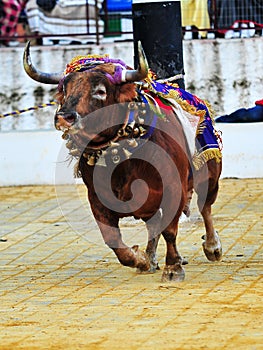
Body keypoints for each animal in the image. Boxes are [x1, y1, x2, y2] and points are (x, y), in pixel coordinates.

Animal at [23, 41, 224, 282]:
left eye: (100, 91)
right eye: (65, 90)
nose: (65, 117)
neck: (125, 163)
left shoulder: (174, 189)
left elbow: (170, 230)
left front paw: (173, 267)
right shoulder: (97, 198)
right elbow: (113, 240)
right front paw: (140, 259)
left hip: (210, 177)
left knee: (205, 207)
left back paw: (213, 247)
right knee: (154, 225)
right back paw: (150, 257)